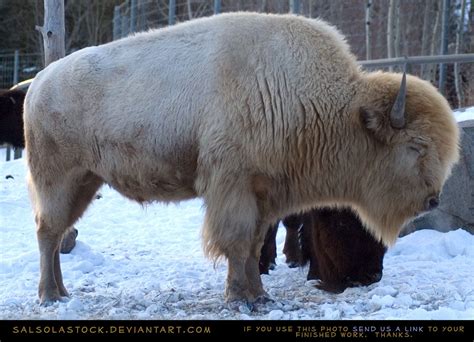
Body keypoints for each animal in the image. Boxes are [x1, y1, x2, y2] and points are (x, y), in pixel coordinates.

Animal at [25, 12, 460, 304]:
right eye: (415, 146)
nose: (432, 199)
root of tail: (39, 84)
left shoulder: (264, 195)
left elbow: (253, 245)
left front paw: (260, 296)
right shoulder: (233, 187)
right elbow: (235, 241)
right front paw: (240, 298)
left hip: (85, 181)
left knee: (58, 232)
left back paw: (61, 291)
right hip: (59, 179)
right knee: (48, 232)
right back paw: (50, 296)